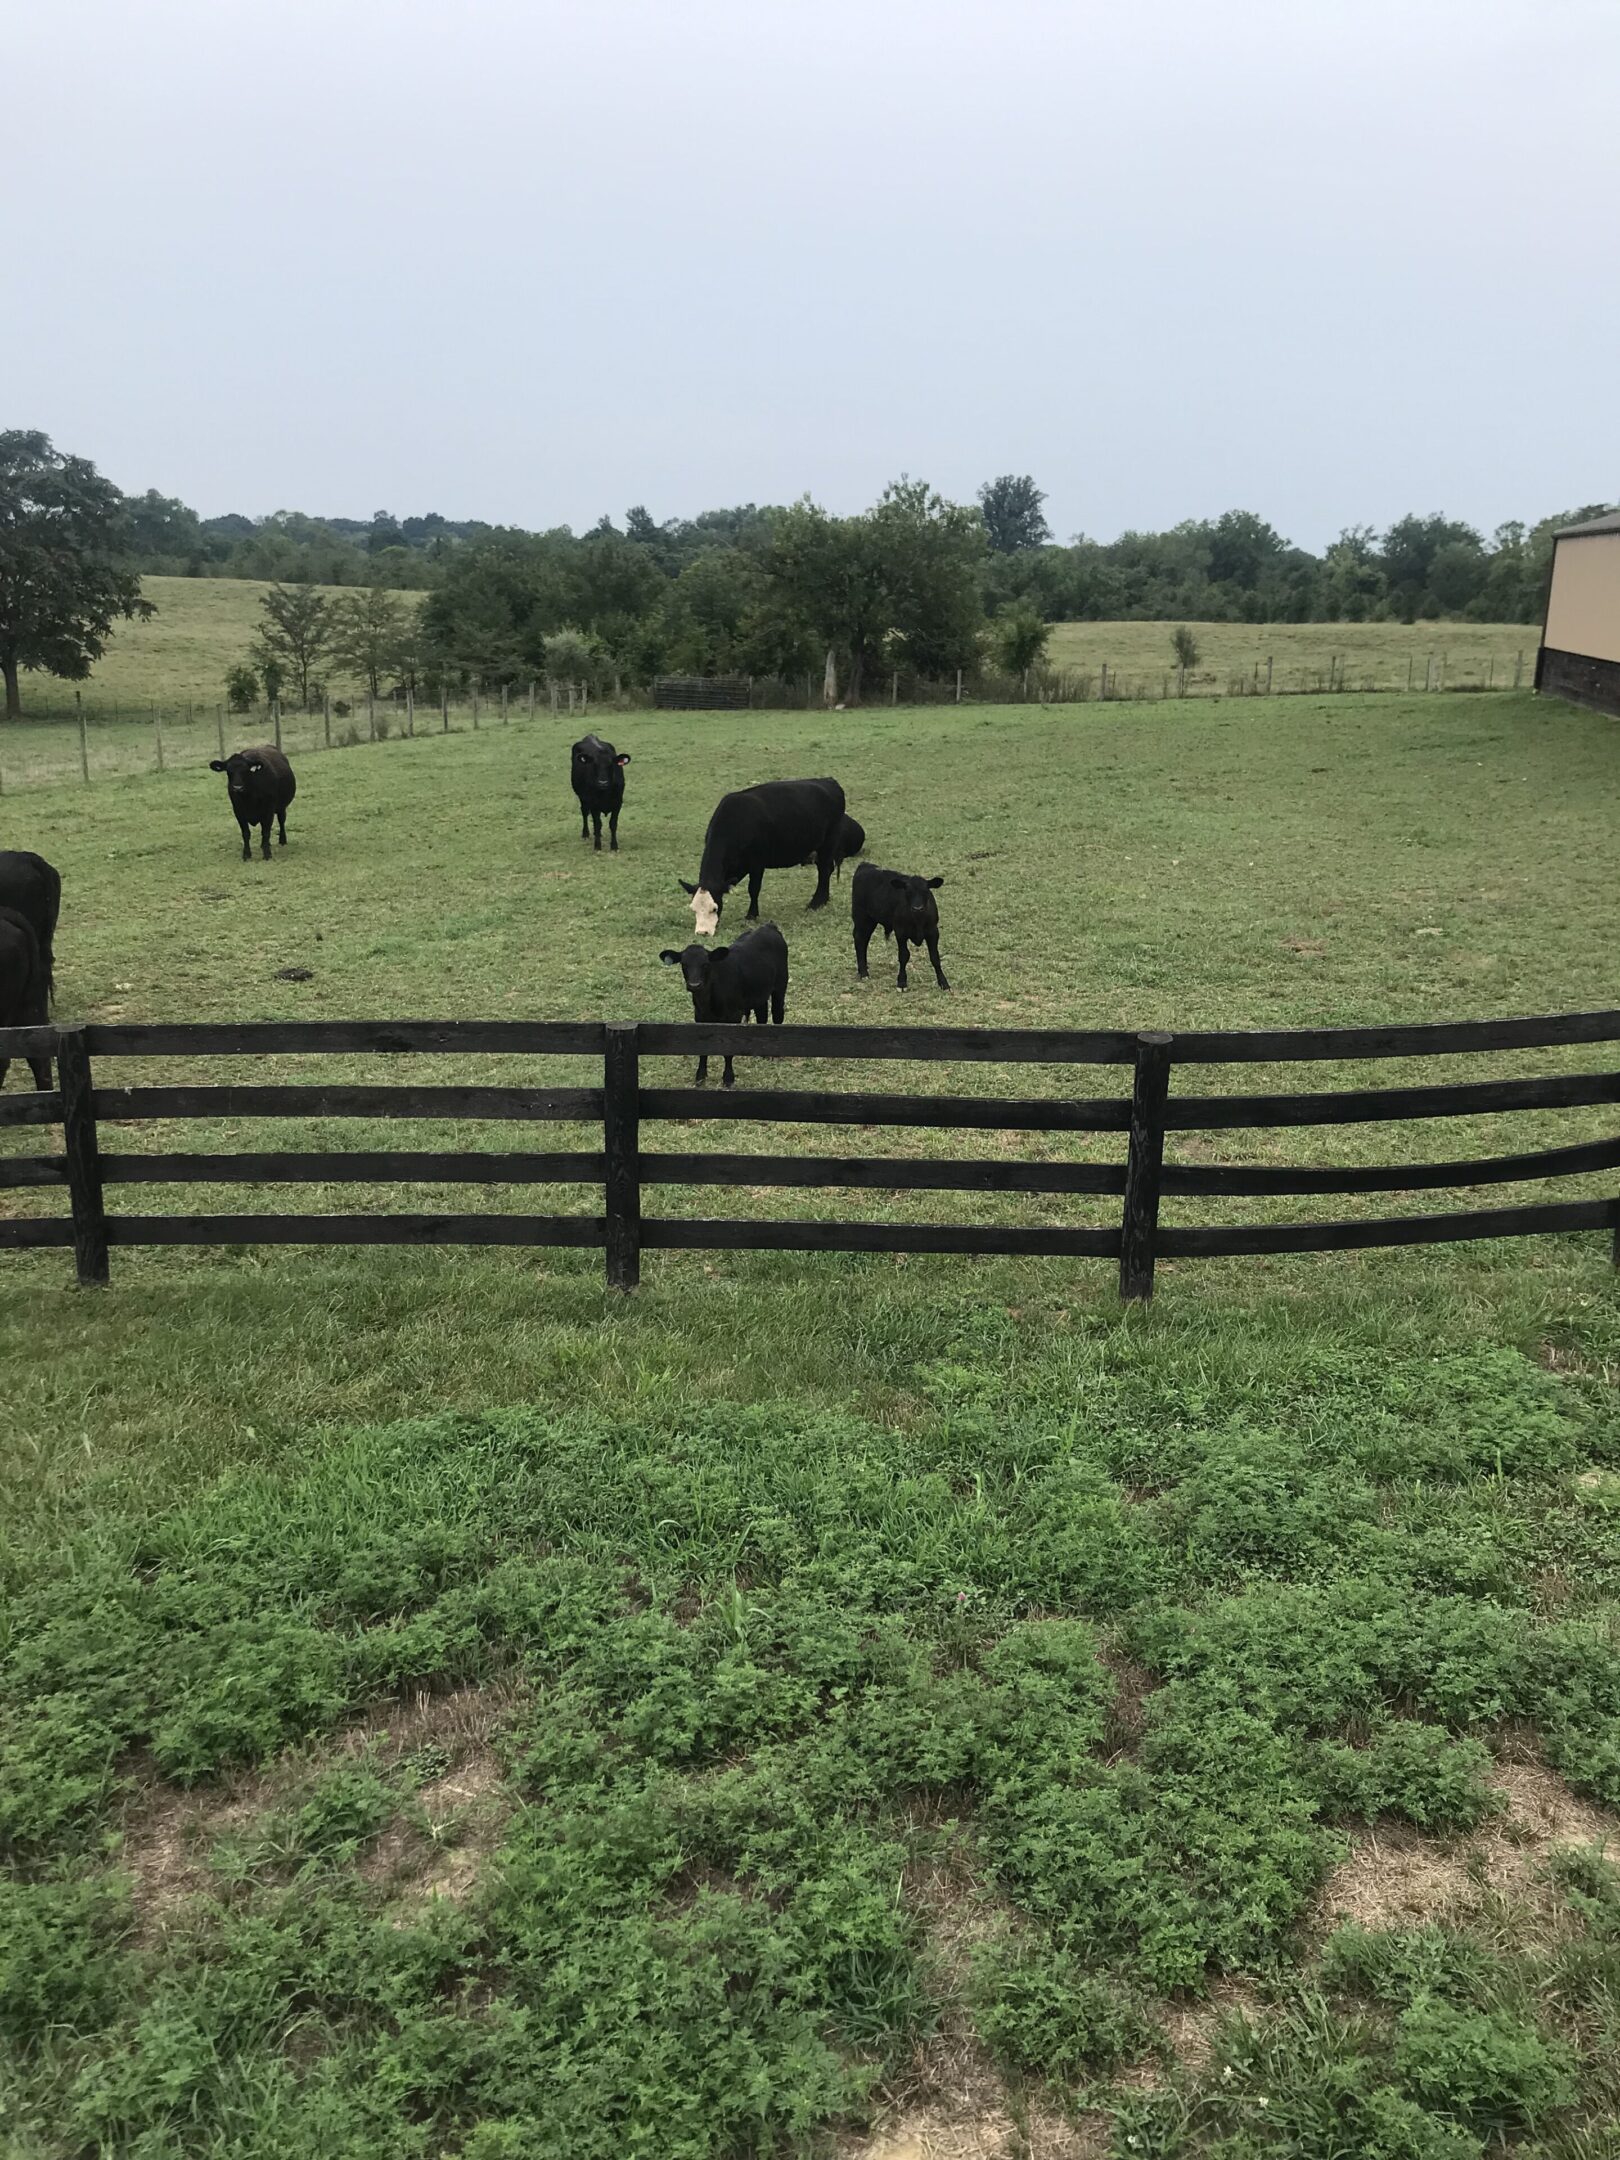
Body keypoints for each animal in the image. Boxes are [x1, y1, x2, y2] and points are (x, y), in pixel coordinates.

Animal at [659, 922, 788, 1087]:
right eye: (684, 964)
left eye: (705, 964)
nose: (694, 985)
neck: (708, 1002)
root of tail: (768, 926)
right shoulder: (700, 1017)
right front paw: (700, 1076)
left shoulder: (733, 1016)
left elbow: (728, 1051)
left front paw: (728, 1078)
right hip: (760, 991)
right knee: (762, 1015)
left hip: (780, 985)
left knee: (778, 1014)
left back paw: (776, 1054)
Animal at [680, 777, 850, 936]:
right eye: (693, 909)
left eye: (714, 908)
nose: (702, 933)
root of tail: (828, 781)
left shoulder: (757, 863)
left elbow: (753, 889)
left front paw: (751, 915)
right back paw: (823, 900)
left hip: (829, 842)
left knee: (824, 871)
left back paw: (815, 903)